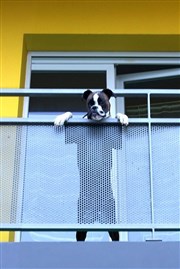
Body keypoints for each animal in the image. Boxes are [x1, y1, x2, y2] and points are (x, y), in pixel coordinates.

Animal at [54, 88, 129, 241]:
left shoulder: (116, 143)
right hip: (82, 223)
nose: (94, 108)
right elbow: (70, 112)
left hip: (111, 221)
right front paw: (62, 116)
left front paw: (123, 116)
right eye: (90, 103)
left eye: (102, 102)